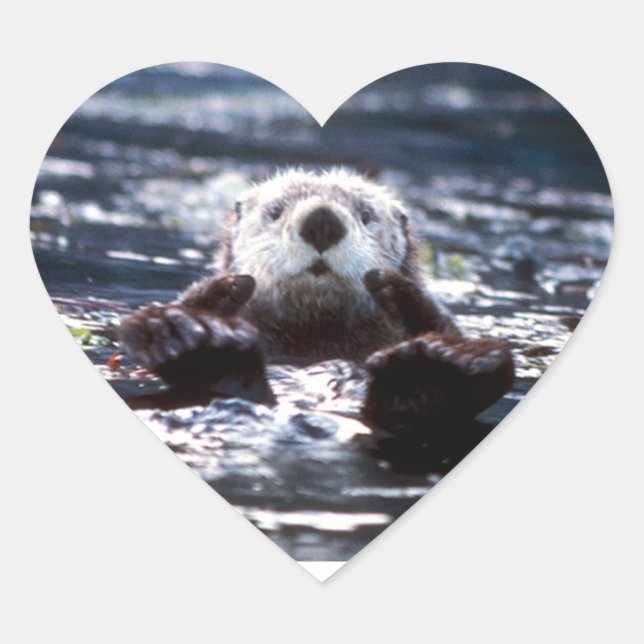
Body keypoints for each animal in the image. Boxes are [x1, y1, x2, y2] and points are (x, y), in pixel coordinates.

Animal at [118, 169, 515, 431]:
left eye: (366, 215)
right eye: (275, 211)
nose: (322, 220)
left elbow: (441, 321)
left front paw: (396, 289)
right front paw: (227, 288)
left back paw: (436, 364)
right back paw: (185, 336)